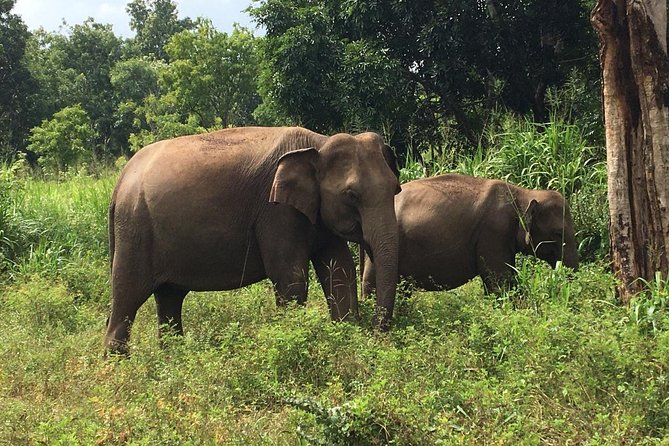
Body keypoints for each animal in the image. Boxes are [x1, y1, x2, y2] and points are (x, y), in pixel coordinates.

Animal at [103, 126, 396, 356]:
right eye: (351, 195)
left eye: (396, 188)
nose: (377, 332)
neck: (319, 143)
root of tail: (119, 184)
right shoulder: (275, 212)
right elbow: (291, 279)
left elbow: (340, 272)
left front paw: (347, 337)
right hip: (135, 231)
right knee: (127, 299)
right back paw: (118, 367)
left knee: (169, 299)